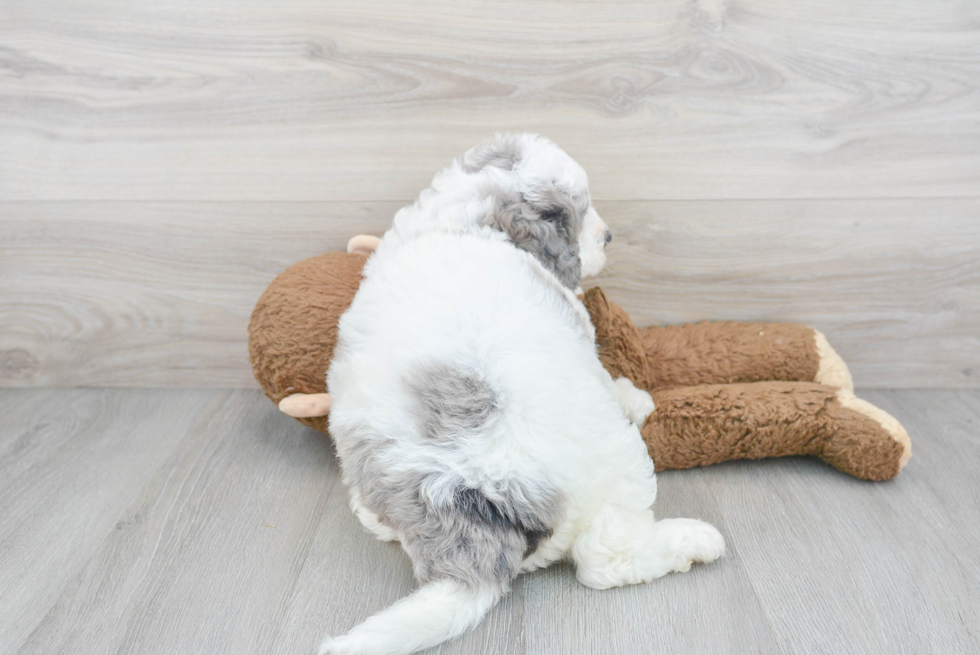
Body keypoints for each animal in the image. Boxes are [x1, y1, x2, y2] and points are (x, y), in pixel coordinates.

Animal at [318, 135, 724, 655]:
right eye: (577, 213)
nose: (609, 236)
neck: (462, 221)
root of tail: (467, 507)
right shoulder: (578, 326)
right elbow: (604, 371)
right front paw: (635, 398)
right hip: (615, 469)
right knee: (605, 559)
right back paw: (692, 542)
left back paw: (370, 516)